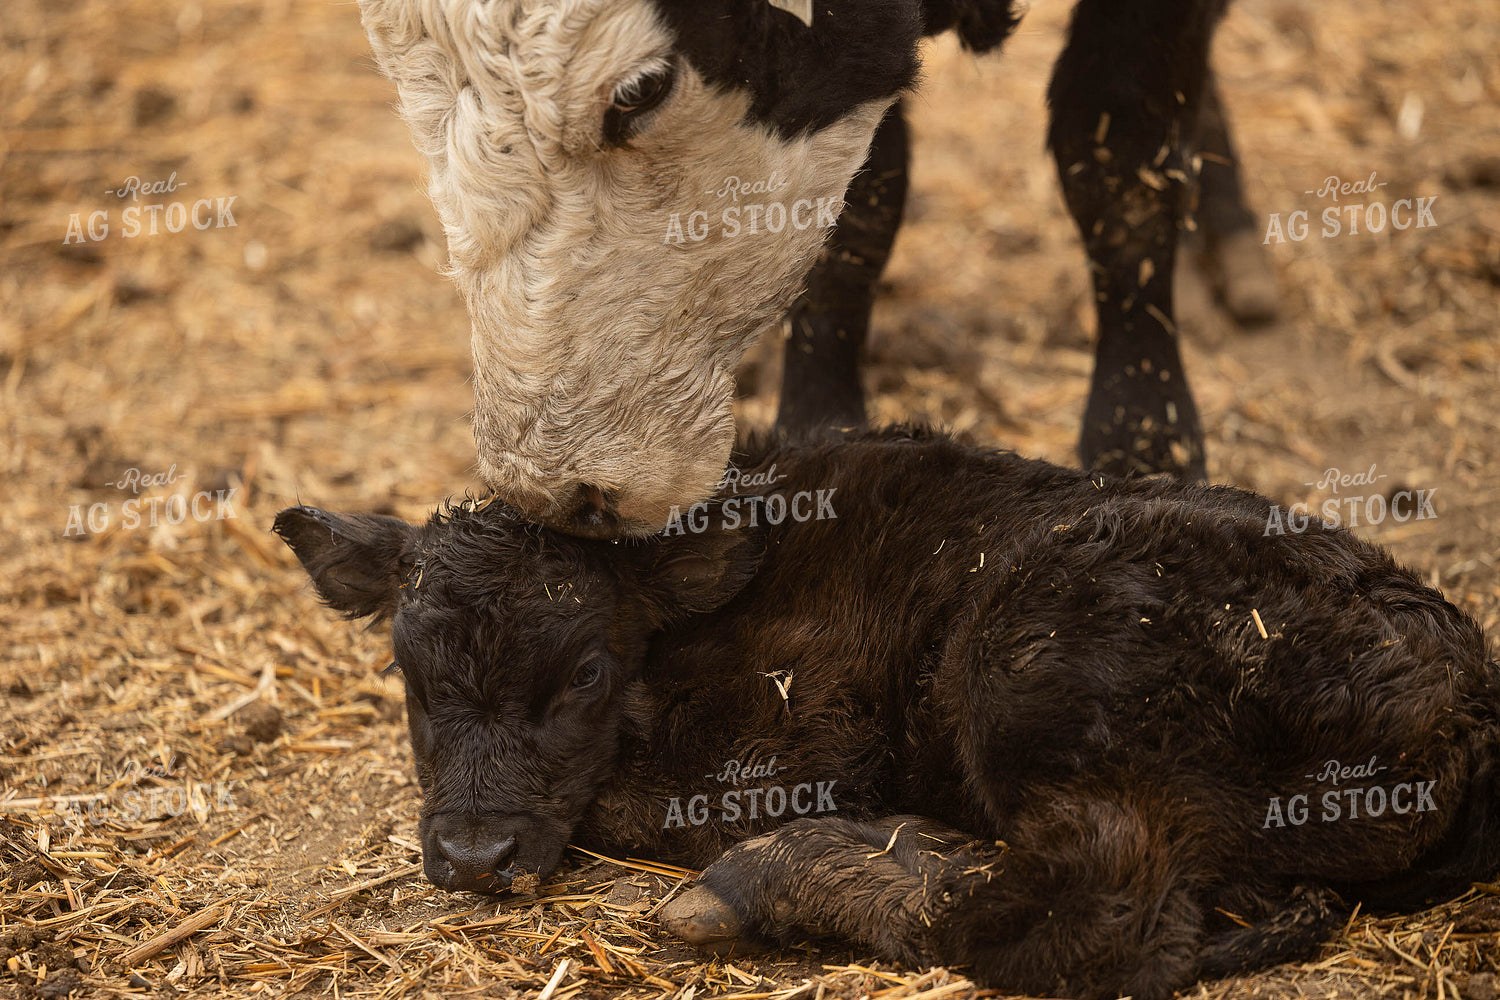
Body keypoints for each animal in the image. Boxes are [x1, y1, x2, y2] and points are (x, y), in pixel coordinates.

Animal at [275, 427, 1500, 1000]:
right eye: (410, 671)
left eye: (582, 672)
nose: (474, 854)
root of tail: (1460, 680)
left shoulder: (801, 743)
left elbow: (629, 803)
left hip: (1025, 670)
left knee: (1097, 909)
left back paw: (776, 882)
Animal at [354, 0, 1278, 537]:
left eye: (640, 90)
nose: (555, 494)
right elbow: (865, 199)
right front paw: (823, 420)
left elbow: (1118, 144)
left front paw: (1145, 440)